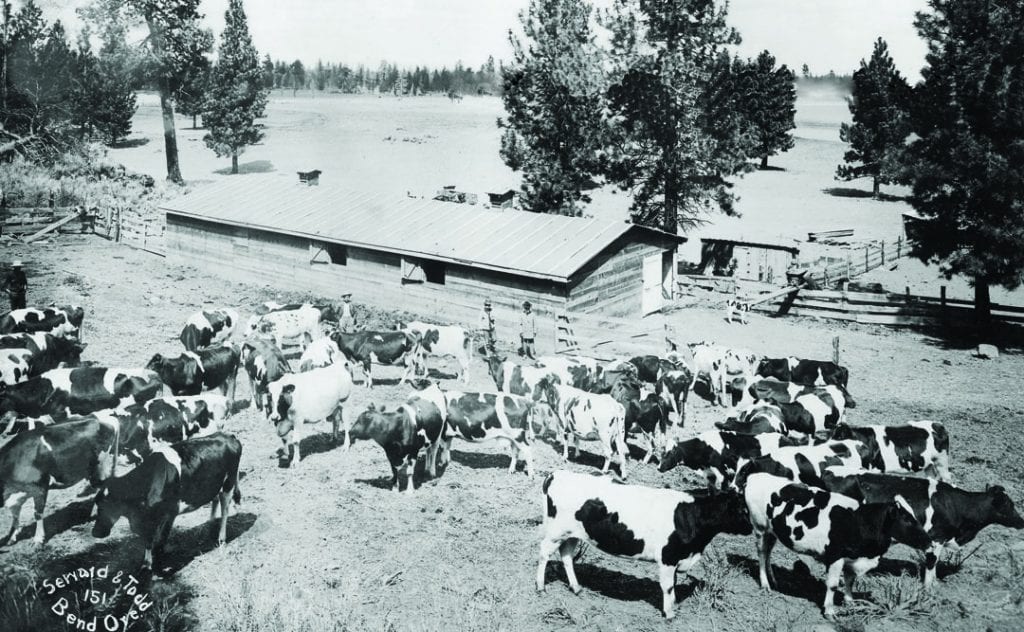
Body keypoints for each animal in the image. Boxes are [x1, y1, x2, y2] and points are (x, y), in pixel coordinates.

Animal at [91, 432, 241, 569]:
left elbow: (159, 538)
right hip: (214, 484)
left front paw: (153, 562)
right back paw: (210, 523)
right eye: (97, 502)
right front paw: (148, 561)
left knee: (225, 509)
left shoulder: (168, 512)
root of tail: (228, 435)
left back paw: (221, 538)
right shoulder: (149, 518)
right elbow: (150, 539)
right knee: (215, 500)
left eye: (109, 505)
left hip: (229, 483)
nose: (95, 532)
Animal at [536, 469, 753, 614]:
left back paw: (576, 588)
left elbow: (673, 584)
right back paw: (541, 587)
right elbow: (667, 585)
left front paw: (673, 606)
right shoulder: (668, 557)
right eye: (742, 509)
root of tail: (556, 474)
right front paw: (669, 614)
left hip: (572, 534)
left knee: (566, 555)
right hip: (556, 532)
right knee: (544, 553)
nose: (751, 527)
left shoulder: (676, 559)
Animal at [745, 473, 937, 614]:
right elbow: (832, 585)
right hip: (760, 528)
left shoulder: (852, 558)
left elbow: (850, 582)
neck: (859, 521)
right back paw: (765, 584)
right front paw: (829, 611)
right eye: (907, 519)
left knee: (768, 552)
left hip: (772, 532)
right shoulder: (835, 556)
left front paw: (850, 603)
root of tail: (755, 476)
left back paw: (773, 580)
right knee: (762, 554)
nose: (930, 542)